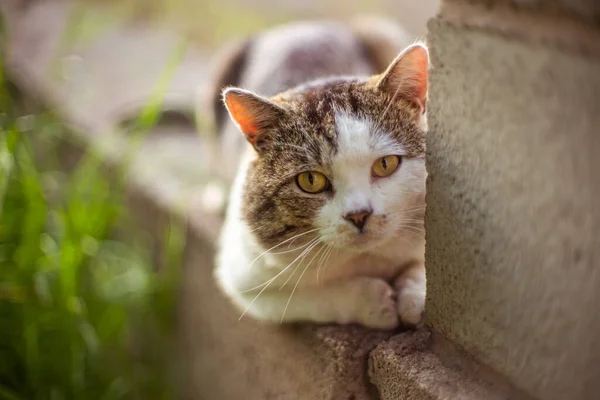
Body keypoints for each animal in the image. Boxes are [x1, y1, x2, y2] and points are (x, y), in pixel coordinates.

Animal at [209, 20, 428, 330]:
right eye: (310, 181)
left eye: (386, 164)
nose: (359, 215)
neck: (367, 258)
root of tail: (299, 27)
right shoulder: (246, 284)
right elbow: (315, 297)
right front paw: (375, 303)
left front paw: (414, 297)